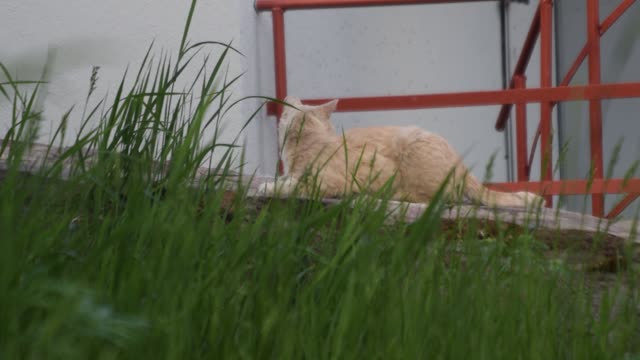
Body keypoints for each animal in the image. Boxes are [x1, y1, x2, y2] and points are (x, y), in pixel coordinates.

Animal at [260, 95, 544, 208]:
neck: (316, 142)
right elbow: (287, 179)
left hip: (411, 147)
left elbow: (294, 185)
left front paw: (270, 187)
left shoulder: (328, 181)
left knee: (436, 198)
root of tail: (462, 164)